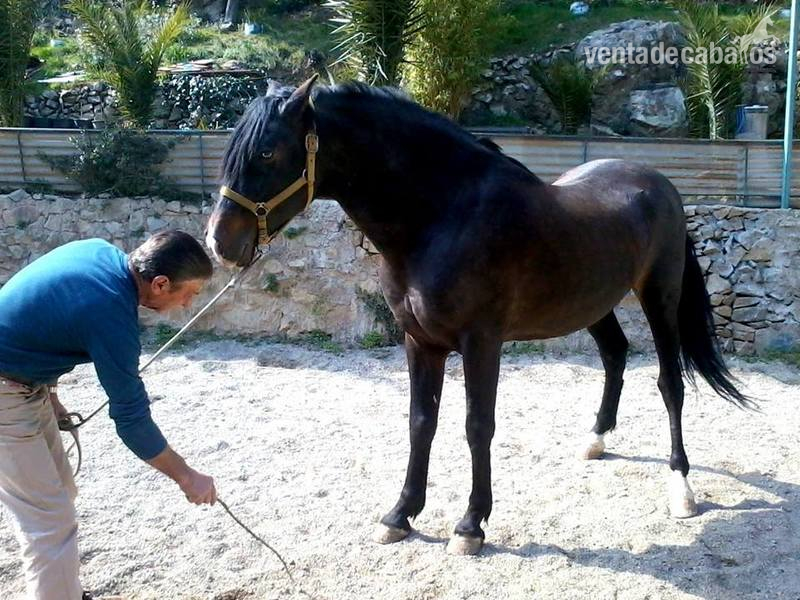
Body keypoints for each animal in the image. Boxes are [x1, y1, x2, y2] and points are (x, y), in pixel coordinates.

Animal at [205, 76, 752, 556]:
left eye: (268, 152)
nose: (218, 242)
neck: (443, 217)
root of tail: (658, 182)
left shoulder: (481, 342)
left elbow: (476, 425)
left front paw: (471, 524)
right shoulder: (419, 342)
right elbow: (420, 422)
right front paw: (401, 514)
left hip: (659, 297)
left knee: (670, 383)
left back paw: (681, 488)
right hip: (593, 301)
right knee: (616, 355)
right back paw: (596, 440)